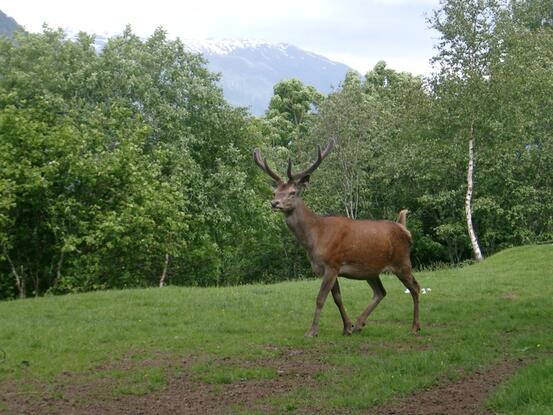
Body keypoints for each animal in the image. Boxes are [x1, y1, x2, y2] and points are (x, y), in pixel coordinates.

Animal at [252, 140, 420, 338]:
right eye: (274, 192)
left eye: (292, 192)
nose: (274, 203)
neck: (315, 237)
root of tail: (404, 228)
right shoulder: (327, 268)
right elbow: (337, 298)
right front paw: (347, 327)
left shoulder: (332, 263)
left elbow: (320, 299)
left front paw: (312, 331)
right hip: (370, 269)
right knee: (381, 292)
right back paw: (359, 324)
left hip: (402, 261)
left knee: (415, 287)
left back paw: (415, 327)